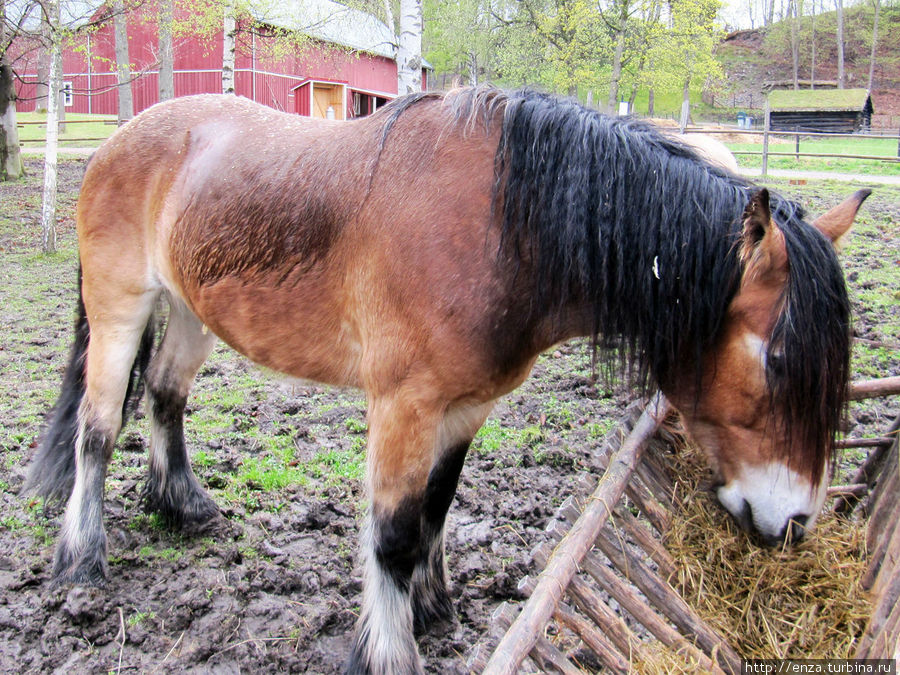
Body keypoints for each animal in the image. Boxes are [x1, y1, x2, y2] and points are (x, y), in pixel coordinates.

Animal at [28, 87, 868, 672]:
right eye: (777, 360)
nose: (795, 521)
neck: (503, 227)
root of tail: (120, 141)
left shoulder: (467, 407)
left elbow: (436, 507)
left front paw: (433, 608)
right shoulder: (405, 405)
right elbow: (395, 532)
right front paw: (388, 649)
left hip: (190, 310)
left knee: (166, 395)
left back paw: (182, 504)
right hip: (121, 307)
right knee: (97, 430)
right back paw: (82, 559)